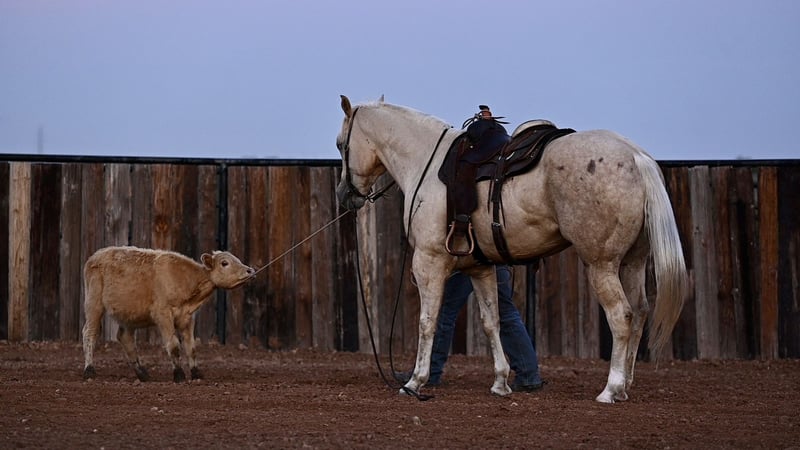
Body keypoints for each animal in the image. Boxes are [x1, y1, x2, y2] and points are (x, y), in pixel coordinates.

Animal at [335, 95, 687, 403]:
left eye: (341, 144)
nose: (344, 194)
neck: (426, 163)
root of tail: (636, 158)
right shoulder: (479, 268)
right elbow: (492, 322)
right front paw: (501, 382)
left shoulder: (428, 262)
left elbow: (427, 321)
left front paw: (414, 382)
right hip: (632, 262)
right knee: (639, 312)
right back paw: (625, 385)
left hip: (601, 264)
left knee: (621, 315)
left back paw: (610, 389)